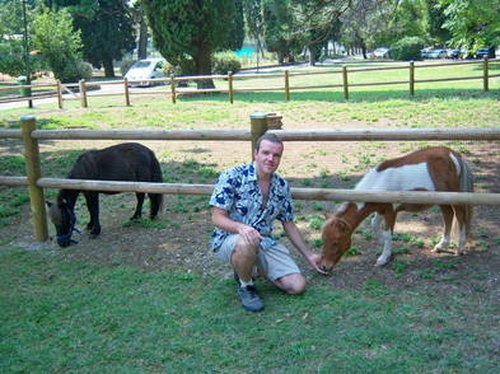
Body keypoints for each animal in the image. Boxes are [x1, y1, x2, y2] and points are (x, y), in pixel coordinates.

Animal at [320, 146, 472, 272]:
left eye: (335, 242)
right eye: (323, 239)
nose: (324, 266)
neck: (379, 183)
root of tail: (452, 153)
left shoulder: (390, 212)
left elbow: (387, 233)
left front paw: (383, 258)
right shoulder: (380, 210)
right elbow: (375, 226)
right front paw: (388, 250)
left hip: (454, 197)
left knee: (460, 216)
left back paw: (460, 248)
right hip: (442, 199)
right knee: (448, 215)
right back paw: (441, 246)